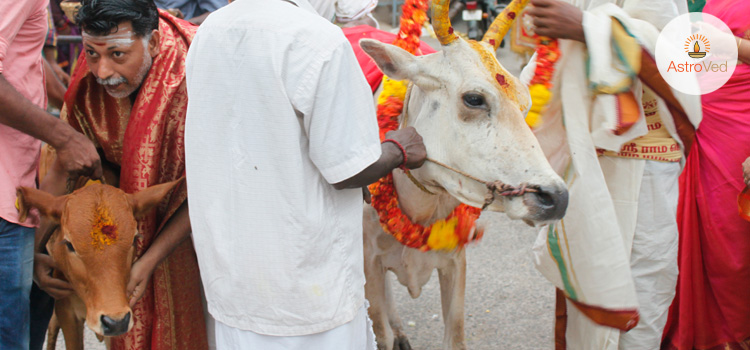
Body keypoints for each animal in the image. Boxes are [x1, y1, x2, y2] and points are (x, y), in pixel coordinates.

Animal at [362, 1, 568, 348]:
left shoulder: (455, 260)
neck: (420, 202)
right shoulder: (367, 264)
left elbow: (455, 335)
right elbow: (379, 332)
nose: (556, 197)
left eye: (526, 105)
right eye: (474, 98)